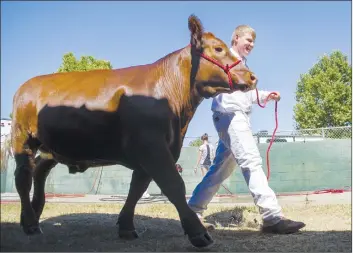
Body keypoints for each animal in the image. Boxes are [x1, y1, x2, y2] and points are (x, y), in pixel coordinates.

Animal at [10, 13, 256, 247]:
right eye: (218, 48)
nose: (252, 76)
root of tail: (26, 86)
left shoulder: (156, 149)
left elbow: (137, 187)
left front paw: (126, 227)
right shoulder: (152, 146)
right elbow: (173, 184)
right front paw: (198, 232)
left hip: (52, 147)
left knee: (39, 170)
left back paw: (33, 214)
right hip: (23, 137)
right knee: (23, 176)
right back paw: (30, 223)